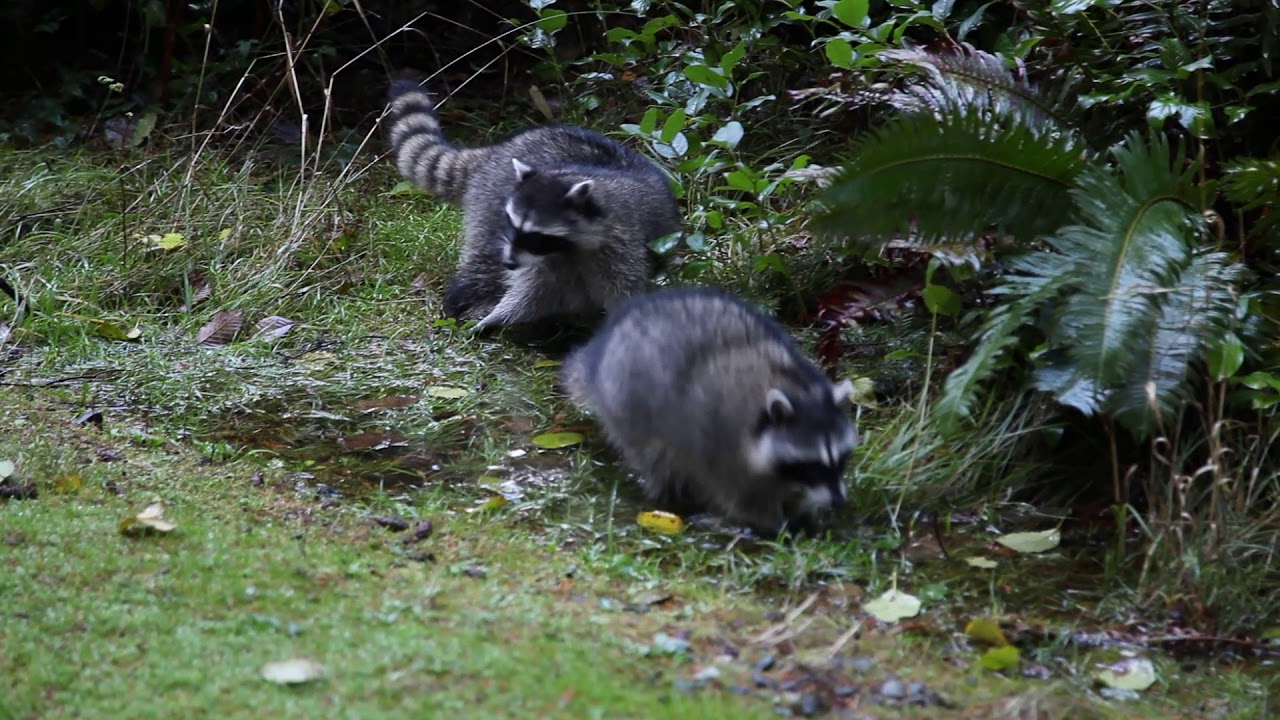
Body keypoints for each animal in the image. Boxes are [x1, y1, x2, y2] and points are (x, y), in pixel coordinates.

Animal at [385, 74, 680, 332]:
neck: (568, 248)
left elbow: (623, 293)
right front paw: (497, 316)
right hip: (489, 203)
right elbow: (531, 295)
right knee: (483, 262)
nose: (509, 263)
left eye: (537, 235)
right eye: (513, 224)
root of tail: (497, 151)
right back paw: (462, 297)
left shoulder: (620, 248)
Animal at [562, 287, 859, 535]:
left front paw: (802, 509)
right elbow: (742, 495)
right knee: (654, 456)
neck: (797, 390)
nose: (839, 501)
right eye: (811, 465)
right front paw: (775, 523)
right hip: (628, 406)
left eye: (840, 459)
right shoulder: (722, 447)